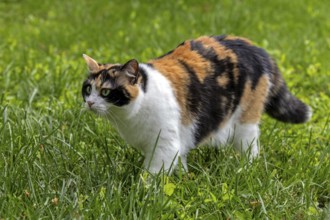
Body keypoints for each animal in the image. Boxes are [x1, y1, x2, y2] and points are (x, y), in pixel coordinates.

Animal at [81, 34, 310, 174]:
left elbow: (153, 173)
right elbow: (179, 161)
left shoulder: (164, 143)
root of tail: (255, 47)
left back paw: (245, 169)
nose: (90, 103)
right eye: (88, 89)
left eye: (106, 91)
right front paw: (182, 178)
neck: (129, 117)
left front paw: (143, 194)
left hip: (245, 122)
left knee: (250, 146)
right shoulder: (178, 139)